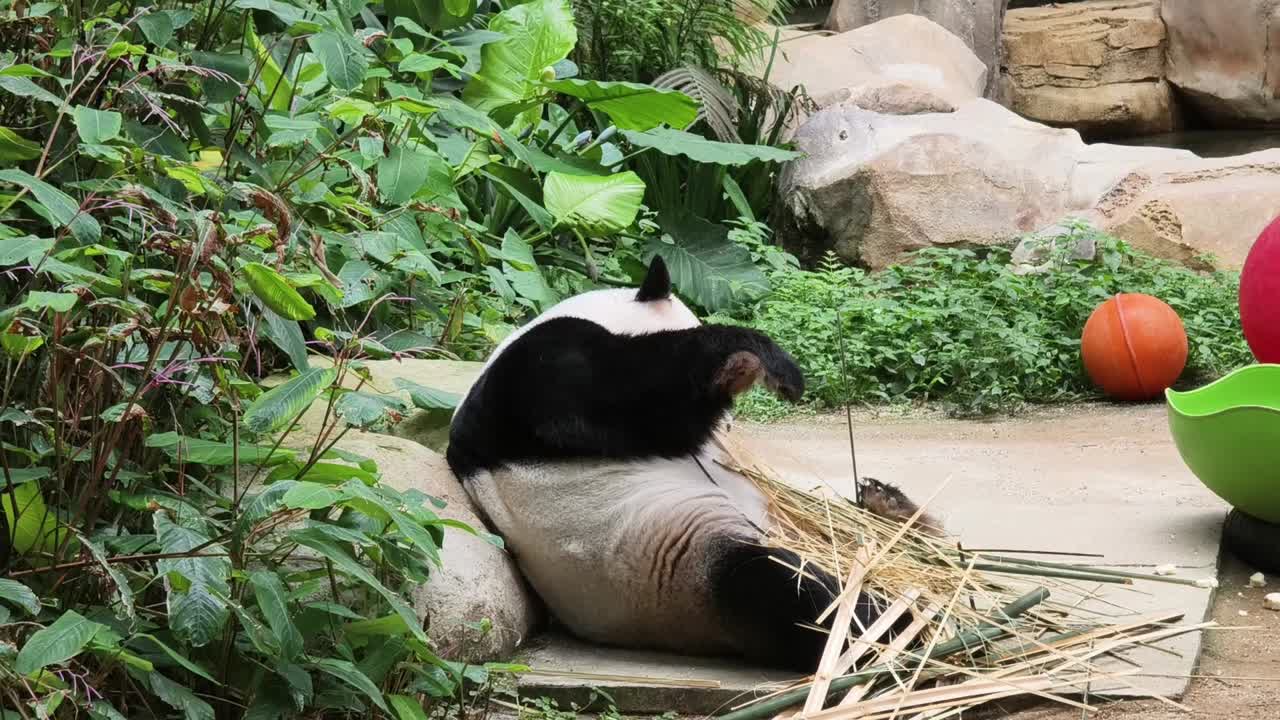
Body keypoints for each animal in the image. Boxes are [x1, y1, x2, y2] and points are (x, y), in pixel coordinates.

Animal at [445, 256, 893, 673]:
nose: (729, 428)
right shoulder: (536, 378)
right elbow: (625, 400)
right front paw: (756, 361)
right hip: (678, 571)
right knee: (787, 594)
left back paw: (885, 506)